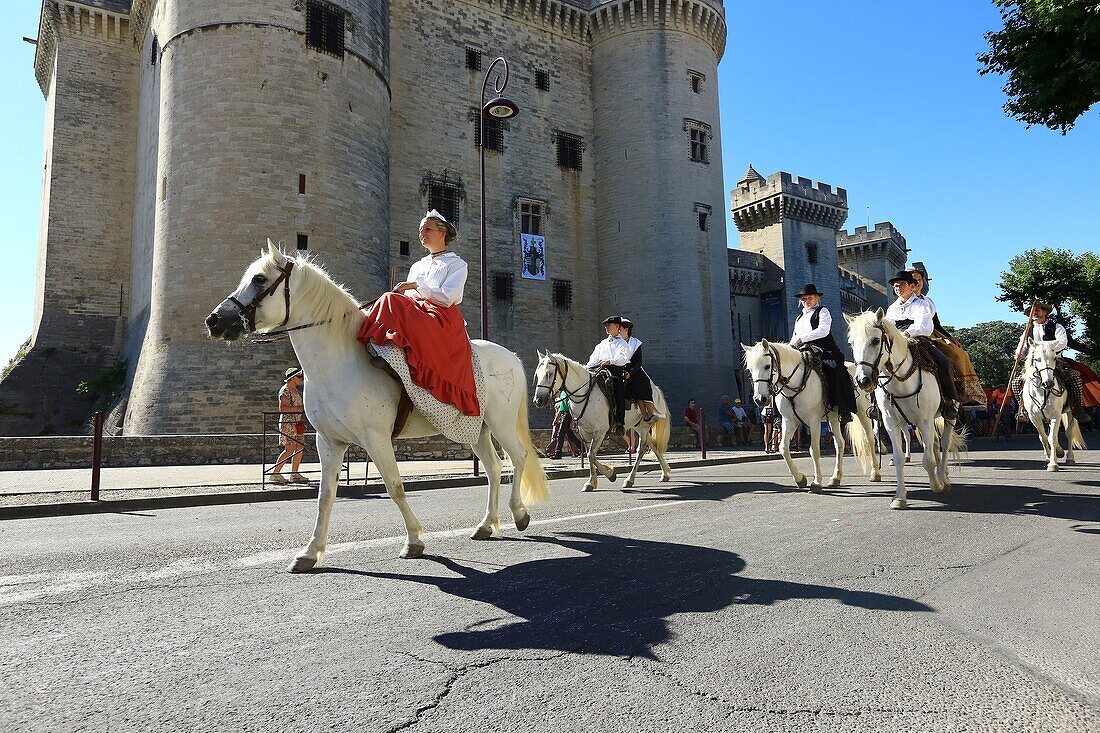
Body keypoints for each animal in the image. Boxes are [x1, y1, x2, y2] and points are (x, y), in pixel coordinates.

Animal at [204, 245, 547, 572]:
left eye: (259, 279)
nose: (214, 320)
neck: (341, 361)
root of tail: (510, 356)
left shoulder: (376, 439)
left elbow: (394, 487)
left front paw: (414, 541)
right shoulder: (328, 442)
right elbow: (325, 496)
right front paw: (310, 552)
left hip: (501, 423)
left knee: (519, 457)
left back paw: (519, 513)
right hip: (476, 430)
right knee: (493, 468)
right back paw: (486, 525)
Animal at [530, 349, 668, 488]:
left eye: (549, 373)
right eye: (538, 374)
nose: (538, 400)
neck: (586, 393)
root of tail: (656, 390)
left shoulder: (600, 430)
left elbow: (591, 455)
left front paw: (610, 473)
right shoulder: (584, 432)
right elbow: (590, 455)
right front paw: (592, 481)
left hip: (644, 426)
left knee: (641, 450)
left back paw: (630, 479)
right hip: (637, 425)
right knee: (653, 445)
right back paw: (665, 473)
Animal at [739, 338, 858, 488]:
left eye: (767, 366)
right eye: (750, 370)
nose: (760, 399)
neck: (796, 384)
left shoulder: (814, 421)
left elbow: (814, 450)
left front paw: (816, 482)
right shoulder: (789, 421)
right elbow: (783, 448)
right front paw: (800, 478)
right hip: (833, 419)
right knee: (840, 443)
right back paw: (835, 478)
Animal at [849, 308, 963, 508]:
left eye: (876, 340)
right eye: (852, 343)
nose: (863, 380)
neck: (901, 381)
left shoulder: (924, 421)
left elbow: (928, 460)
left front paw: (936, 485)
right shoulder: (891, 423)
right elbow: (900, 459)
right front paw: (899, 497)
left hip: (949, 415)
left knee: (944, 442)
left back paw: (943, 477)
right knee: (934, 444)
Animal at [1016, 341, 1086, 471]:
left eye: (1054, 358)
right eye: (1036, 359)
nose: (1048, 383)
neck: (1041, 391)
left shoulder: (1055, 415)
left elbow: (1052, 437)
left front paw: (1053, 464)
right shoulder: (1034, 417)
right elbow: (1043, 437)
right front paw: (1049, 458)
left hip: (1071, 412)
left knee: (1069, 433)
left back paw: (1070, 458)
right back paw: (1058, 452)